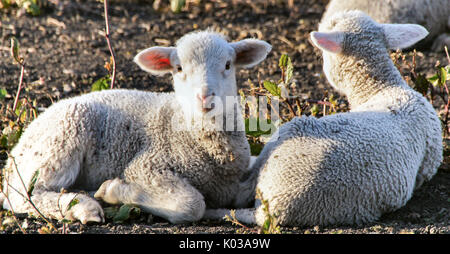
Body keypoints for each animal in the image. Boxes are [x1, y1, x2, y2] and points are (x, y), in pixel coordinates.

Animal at [0, 30, 270, 224]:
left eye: (228, 65)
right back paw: (83, 207)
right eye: (179, 68)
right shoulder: (146, 166)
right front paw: (113, 190)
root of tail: (18, 149)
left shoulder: (233, 183)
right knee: (24, 196)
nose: (204, 97)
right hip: (61, 139)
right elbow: (191, 205)